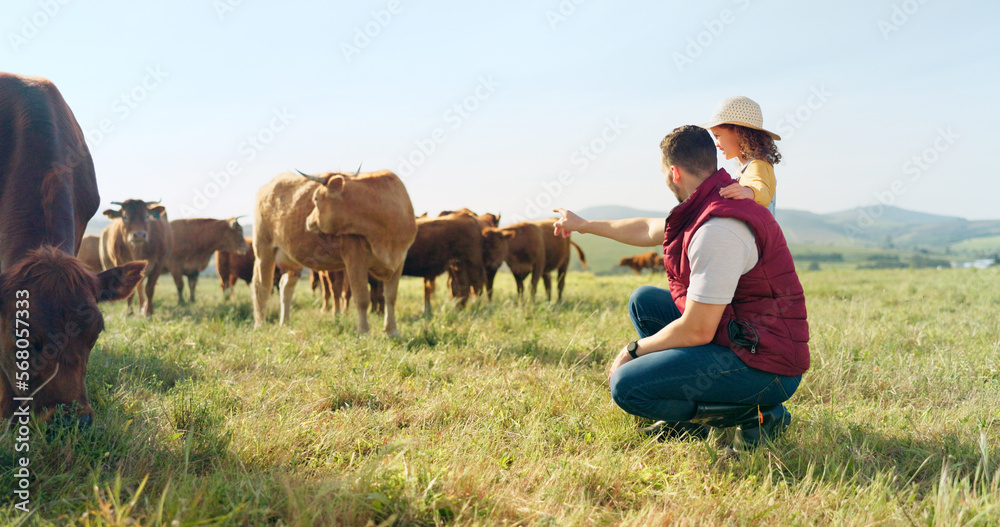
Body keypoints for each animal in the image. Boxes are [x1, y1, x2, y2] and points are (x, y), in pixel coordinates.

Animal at [258, 168, 418, 334]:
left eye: (316, 198)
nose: (308, 220)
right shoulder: (355, 260)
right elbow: (362, 298)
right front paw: (363, 331)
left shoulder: (399, 260)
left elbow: (390, 297)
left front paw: (392, 331)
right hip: (264, 250)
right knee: (262, 287)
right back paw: (260, 325)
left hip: (291, 259)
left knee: (286, 286)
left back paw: (285, 323)